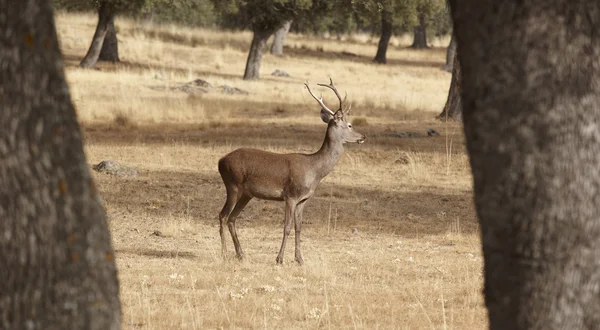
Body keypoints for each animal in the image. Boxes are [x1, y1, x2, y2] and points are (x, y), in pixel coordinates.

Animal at [217, 78, 366, 266]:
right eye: (349, 125)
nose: (363, 137)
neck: (314, 170)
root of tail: (220, 161)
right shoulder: (290, 195)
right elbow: (286, 227)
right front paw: (279, 259)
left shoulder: (303, 199)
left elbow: (299, 227)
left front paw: (300, 259)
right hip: (233, 185)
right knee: (222, 215)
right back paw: (224, 253)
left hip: (246, 193)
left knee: (232, 218)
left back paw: (240, 254)